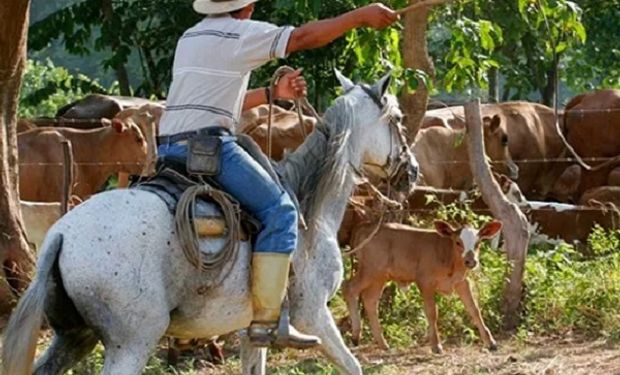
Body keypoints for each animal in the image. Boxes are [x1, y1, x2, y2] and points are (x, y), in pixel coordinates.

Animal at [344, 220, 504, 352]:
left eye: (478, 243)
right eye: (458, 242)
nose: (471, 261)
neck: (448, 256)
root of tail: (364, 227)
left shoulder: (462, 282)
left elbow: (474, 309)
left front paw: (490, 342)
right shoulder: (425, 282)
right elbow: (432, 313)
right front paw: (436, 345)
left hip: (380, 276)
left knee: (370, 300)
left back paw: (383, 344)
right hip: (369, 269)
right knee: (349, 288)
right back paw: (356, 335)